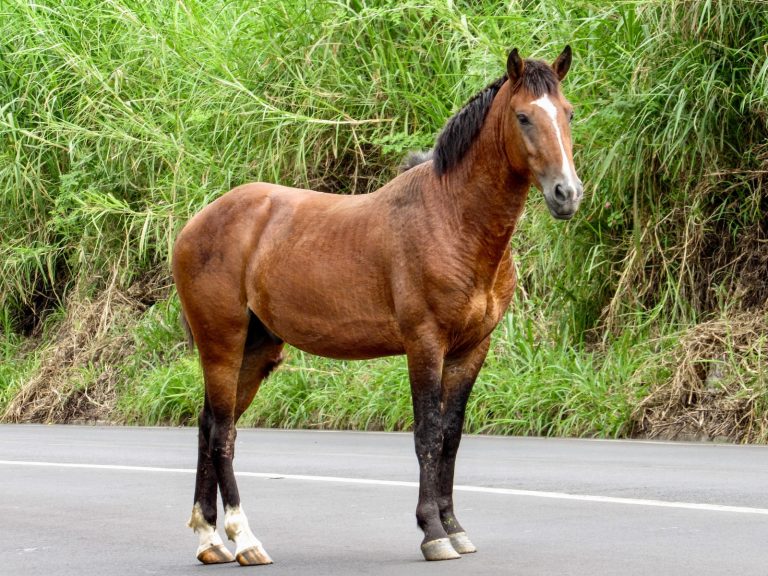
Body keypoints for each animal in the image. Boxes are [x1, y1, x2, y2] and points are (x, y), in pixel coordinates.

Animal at [172, 45, 583, 565]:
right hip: (222, 345)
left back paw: (209, 541)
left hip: (256, 349)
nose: (567, 193)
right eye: (523, 116)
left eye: (568, 113)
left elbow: (450, 436)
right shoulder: (425, 344)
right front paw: (432, 533)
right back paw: (244, 539)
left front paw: (454, 527)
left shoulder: (472, 349)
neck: (453, 218)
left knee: (208, 426)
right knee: (223, 434)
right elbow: (427, 433)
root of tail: (195, 224)